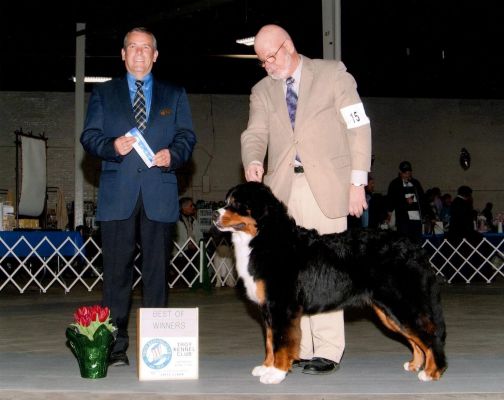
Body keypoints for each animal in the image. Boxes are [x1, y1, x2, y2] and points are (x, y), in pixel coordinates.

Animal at [211, 182, 446, 384]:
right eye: (227, 201)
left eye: (237, 204)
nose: (214, 214)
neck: (266, 238)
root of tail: (417, 250)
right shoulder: (268, 308)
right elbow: (270, 340)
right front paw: (266, 367)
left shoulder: (281, 306)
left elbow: (281, 341)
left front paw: (276, 373)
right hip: (388, 312)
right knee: (416, 340)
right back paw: (415, 364)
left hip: (403, 304)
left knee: (431, 335)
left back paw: (432, 372)